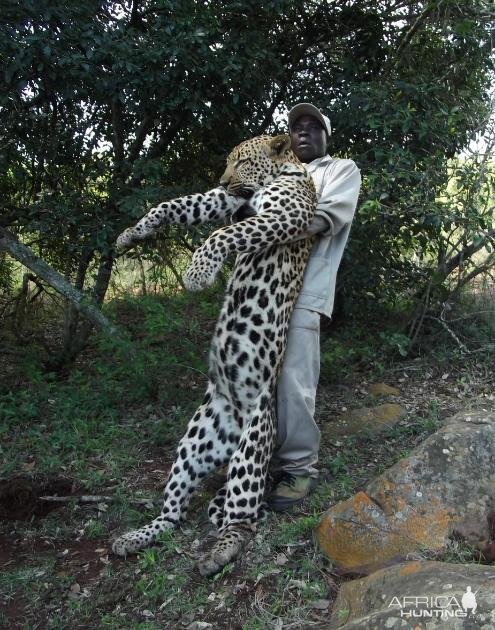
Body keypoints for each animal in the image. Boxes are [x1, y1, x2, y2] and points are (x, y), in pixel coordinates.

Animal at [112, 135, 316, 576]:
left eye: (242, 161)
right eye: (227, 163)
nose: (222, 179)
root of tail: (234, 426)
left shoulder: (284, 215)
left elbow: (224, 233)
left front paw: (197, 274)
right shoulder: (225, 201)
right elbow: (178, 205)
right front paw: (132, 234)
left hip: (251, 450)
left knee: (244, 517)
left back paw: (220, 552)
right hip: (194, 443)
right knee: (173, 513)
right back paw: (136, 536)